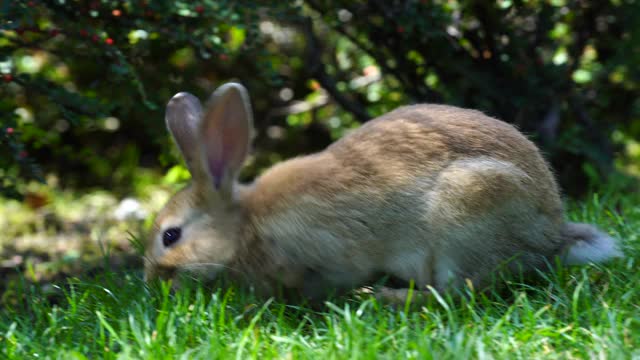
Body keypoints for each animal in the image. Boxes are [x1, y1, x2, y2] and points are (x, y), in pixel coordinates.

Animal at [142, 83, 624, 302]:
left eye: (171, 236)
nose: (151, 279)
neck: (247, 225)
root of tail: (551, 235)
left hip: (467, 211)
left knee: (457, 292)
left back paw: (386, 297)